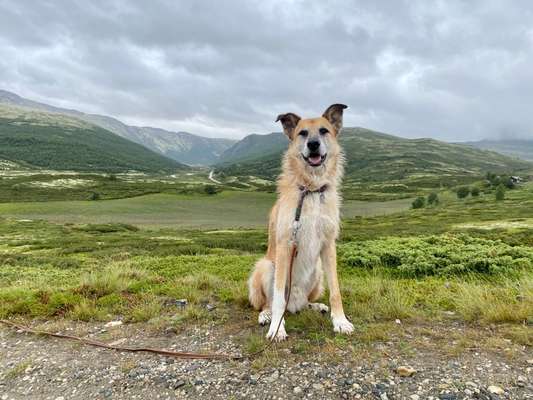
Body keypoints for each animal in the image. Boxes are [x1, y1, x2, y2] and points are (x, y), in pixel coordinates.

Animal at [248, 103, 354, 340]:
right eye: (302, 133)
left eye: (324, 131)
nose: (313, 145)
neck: (311, 190)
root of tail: (294, 304)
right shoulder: (285, 244)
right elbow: (278, 297)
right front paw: (277, 328)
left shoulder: (328, 245)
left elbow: (336, 291)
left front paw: (340, 321)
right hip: (266, 266)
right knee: (267, 303)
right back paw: (266, 315)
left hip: (317, 272)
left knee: (306, 301)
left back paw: (315, 306)